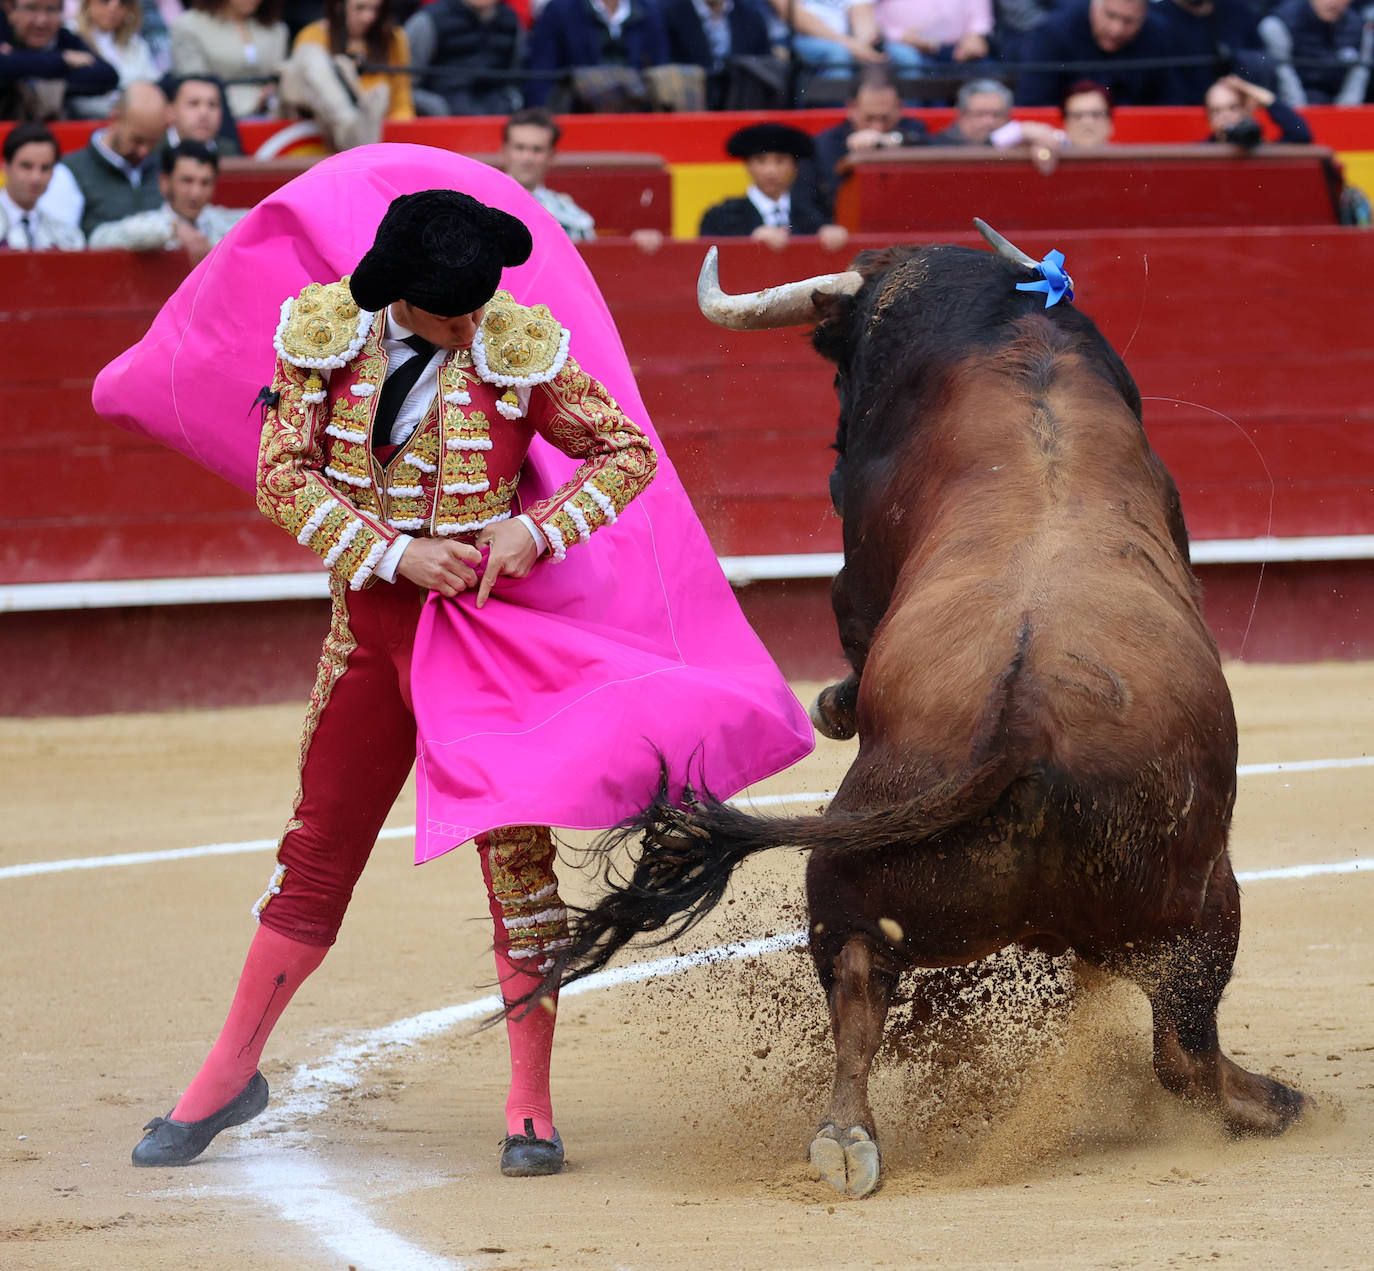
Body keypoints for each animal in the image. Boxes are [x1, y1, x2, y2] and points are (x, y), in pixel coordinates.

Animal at [524, 225, 1308, 1198]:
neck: (1013, 343)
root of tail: (1023, 725)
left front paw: (833, 702)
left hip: (899, 876)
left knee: (868, 982)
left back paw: (847, 1136)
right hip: (1189, 904)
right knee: (1179, 1045)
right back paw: (1270, 1101)